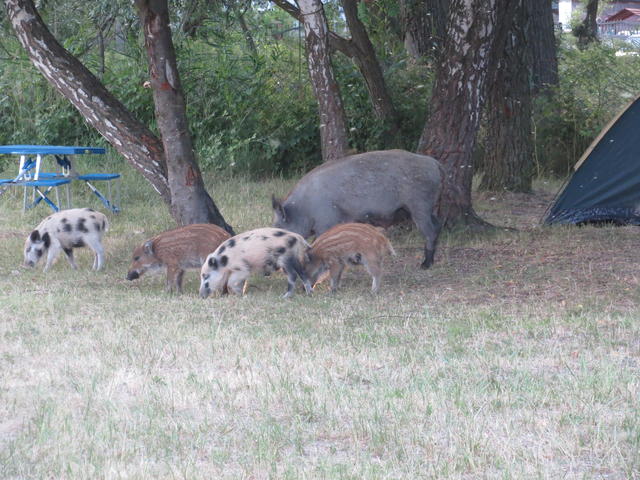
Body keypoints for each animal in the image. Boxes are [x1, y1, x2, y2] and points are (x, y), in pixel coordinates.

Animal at [272, 149, 443, 269]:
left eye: (279, 228)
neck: (304, 209)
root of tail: (434, 163)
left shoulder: (326, 222)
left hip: (420, 206)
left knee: (430, 231)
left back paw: (424, 265)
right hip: (426, 208)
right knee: (437, 225)